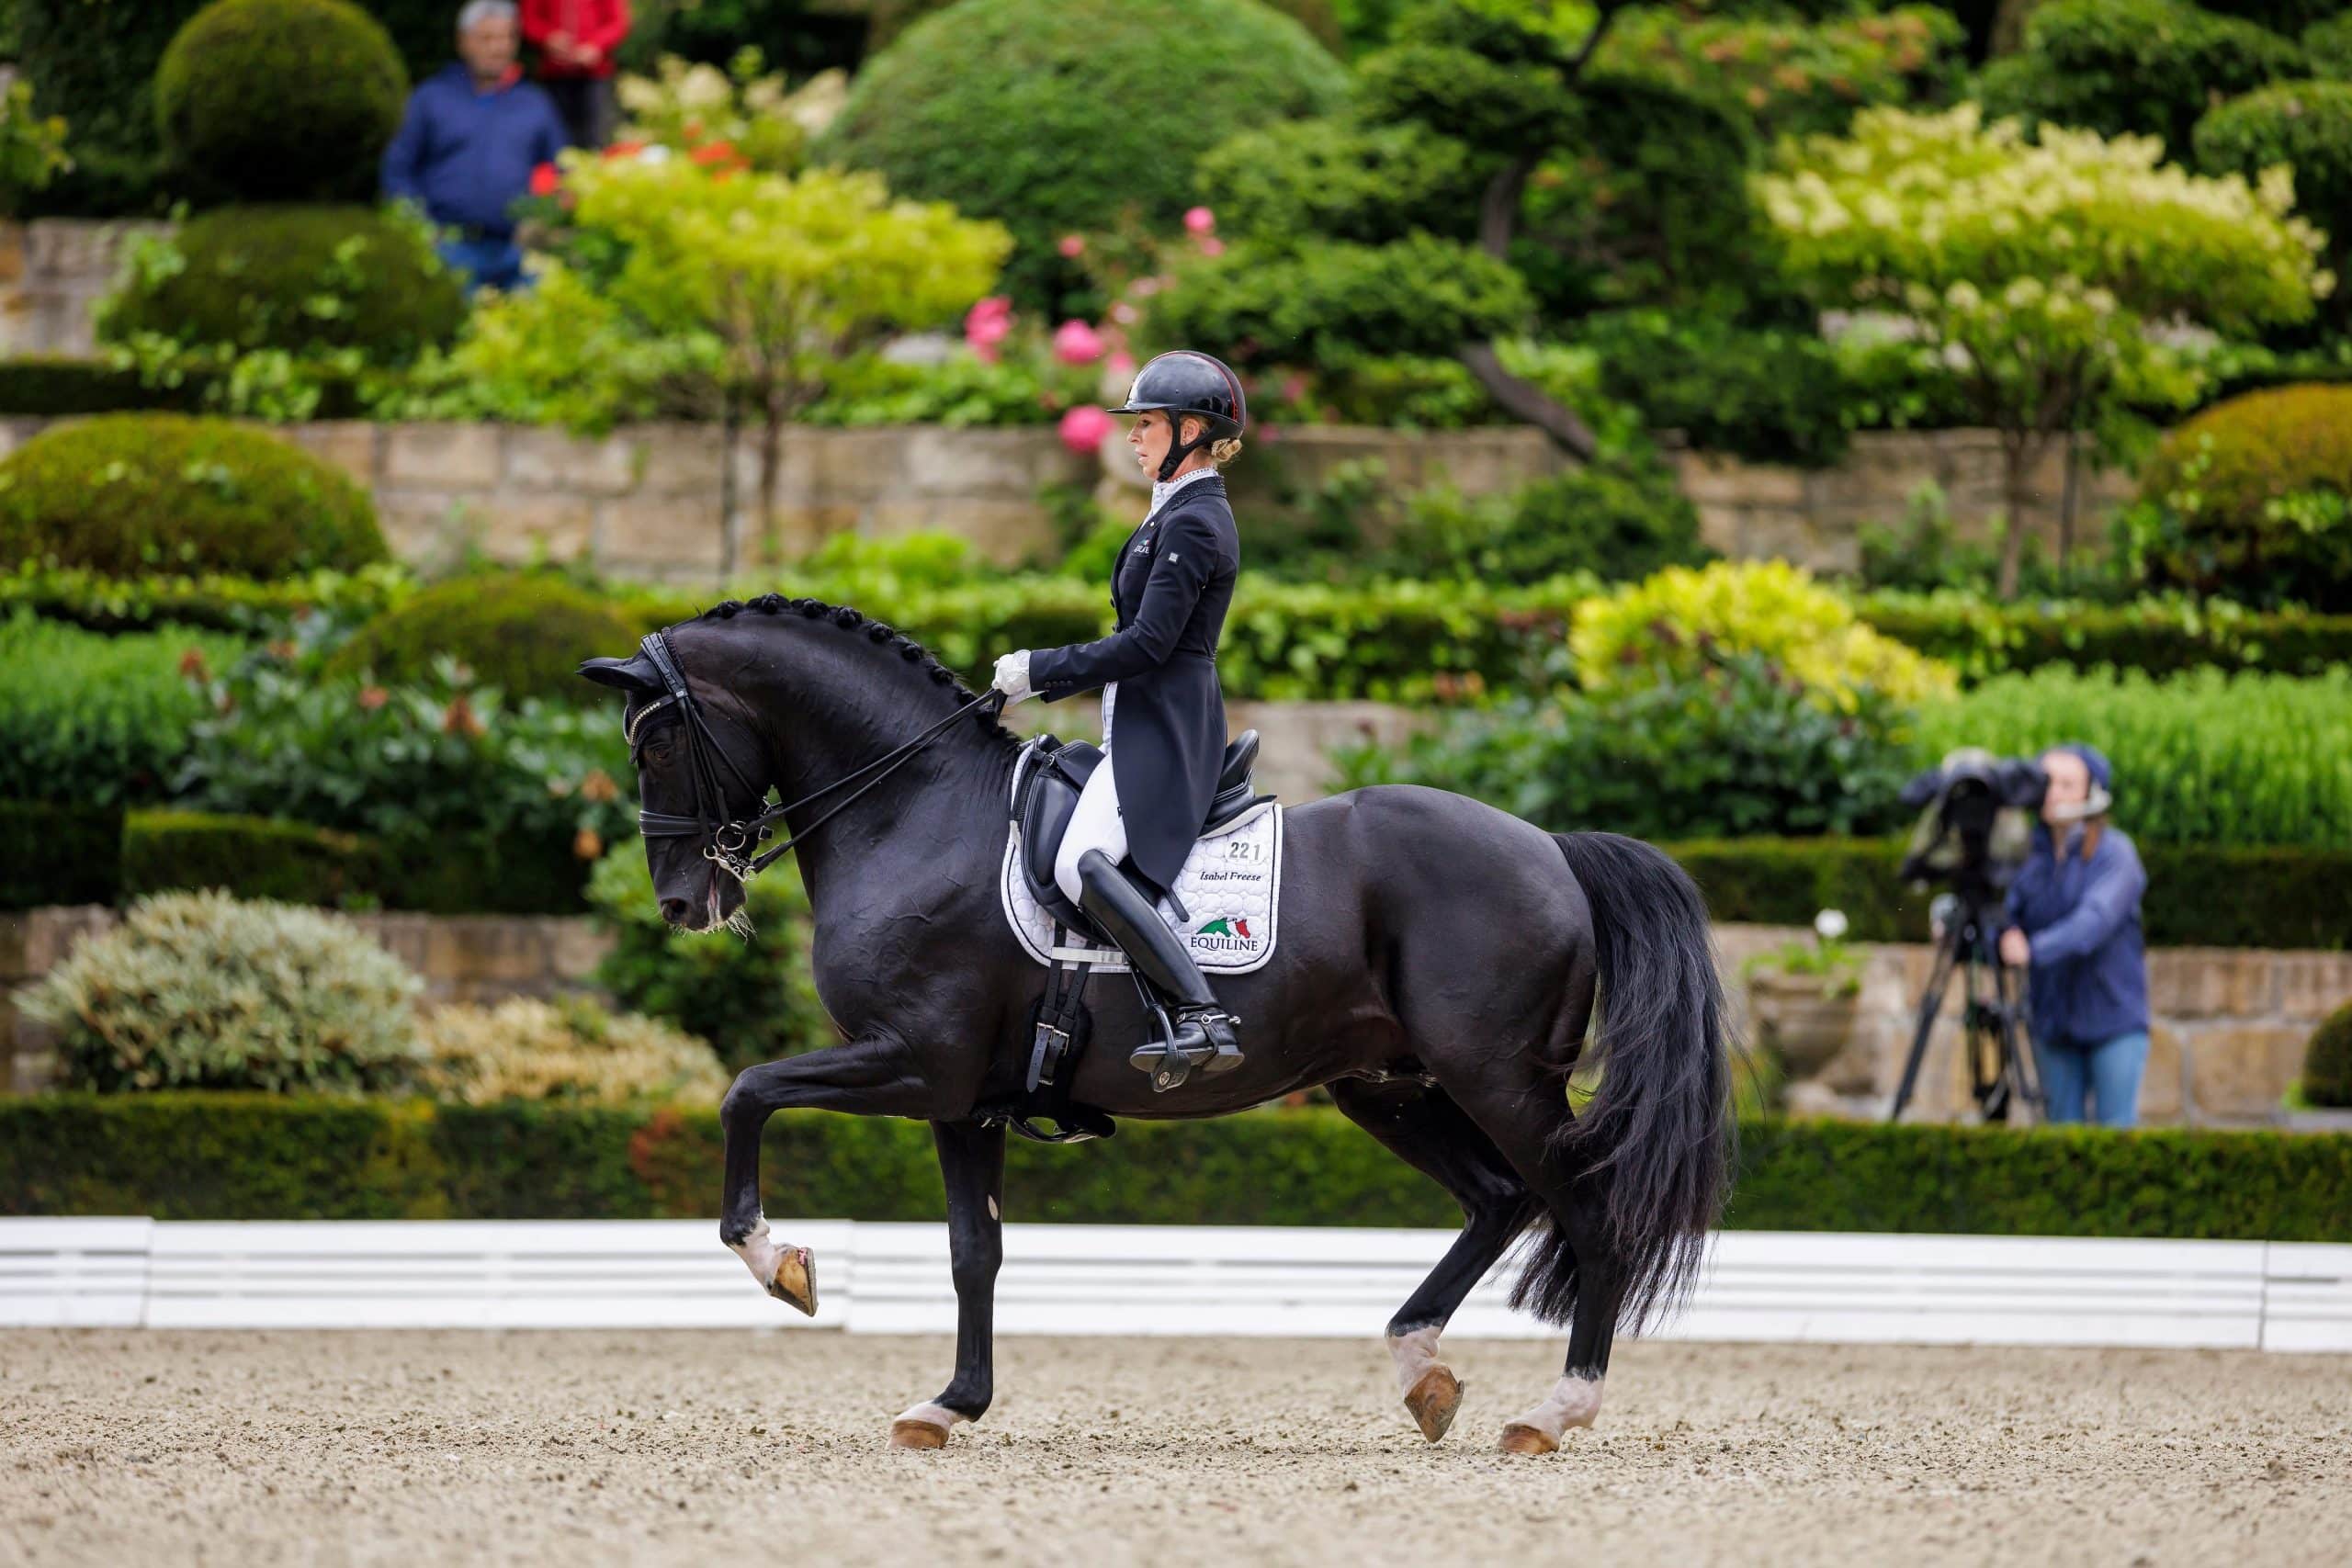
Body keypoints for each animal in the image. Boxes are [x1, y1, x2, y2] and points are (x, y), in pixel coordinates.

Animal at [581, 594, 1740, 1457]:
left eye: (658, 741)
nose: (682, 903)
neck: (914, 811)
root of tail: (1551, 846)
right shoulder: (965, 1101)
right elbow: (972, 1253)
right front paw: (948, 1405)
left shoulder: (912, 1064)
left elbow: (746, 1092)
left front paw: (778, 1263)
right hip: (1388, 1086)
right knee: (1500, 1200)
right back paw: (1423, 1373)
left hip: (1496, 1077)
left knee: (1587, 1212)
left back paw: (1553, 1411)